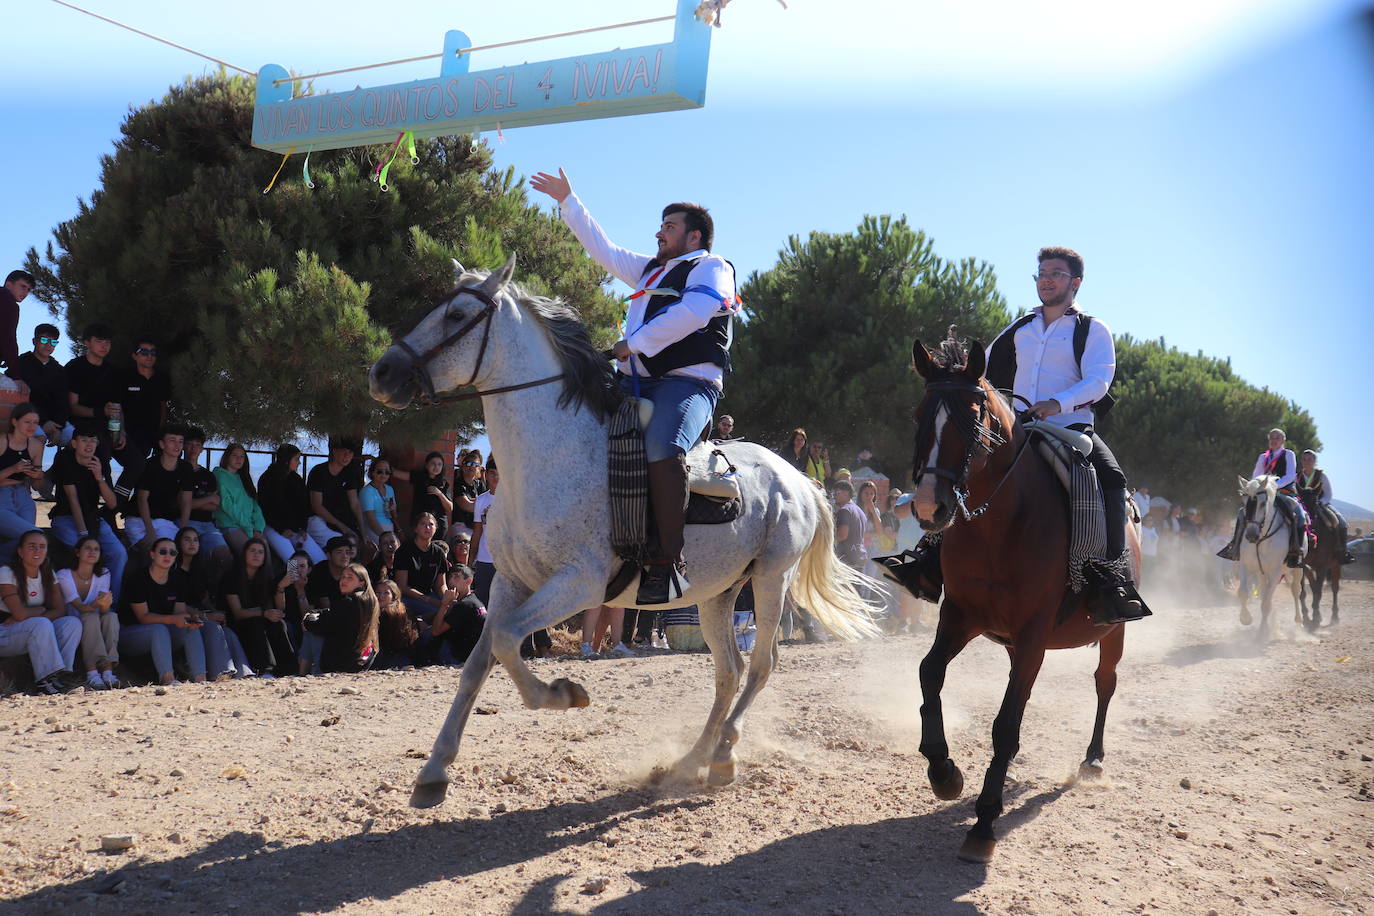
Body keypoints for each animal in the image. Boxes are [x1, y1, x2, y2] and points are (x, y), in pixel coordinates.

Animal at [368, 254, 879, 807]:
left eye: (458, 314)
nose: (382, 372)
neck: (551, 456)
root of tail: (800, 479)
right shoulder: (509, 581)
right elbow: (478, 662)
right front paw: (434, 770)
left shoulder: (579, 583)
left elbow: (505, 642)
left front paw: (563, 693)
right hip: (718, 593)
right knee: (730, 671)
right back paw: (692, 760)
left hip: (770, 580)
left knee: (762, 665)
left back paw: (723, 756)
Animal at [906, 339, 1143, 867]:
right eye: (920, 413)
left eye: (972, 419)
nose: (930, 507)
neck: (1000, 524)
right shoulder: (961, 616)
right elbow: (930, 674)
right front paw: (944, 771)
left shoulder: (1034, 632)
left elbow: (1005, 723)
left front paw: (984, 824)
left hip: (1113, 631)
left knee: (1104, 684)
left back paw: (1093, 759)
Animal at [1242, 477, 1302, 642]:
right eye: (1244, 500)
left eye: (1263, 503)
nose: (1251, 535)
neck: (1262, 539)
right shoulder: (1247, 567)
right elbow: (1243, 593)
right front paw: (1245, 619)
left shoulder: (1275, 572)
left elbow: (1266, 605)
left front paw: (1262, 632)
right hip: (1262, 574)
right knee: (1265, 593)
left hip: (1298, 569)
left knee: (1295, 590)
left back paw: (1298, 622)